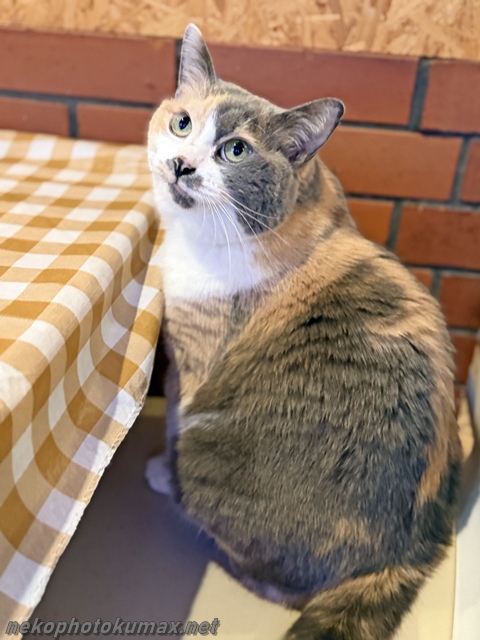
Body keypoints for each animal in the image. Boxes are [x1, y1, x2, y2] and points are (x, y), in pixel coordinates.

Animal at [146, 24, 462, 640]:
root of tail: (408, 554)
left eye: (236, 150)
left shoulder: (191, 365)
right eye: (183, 123)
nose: (182, 164)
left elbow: (172, 417)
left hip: (207, 451)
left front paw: (157, 472)